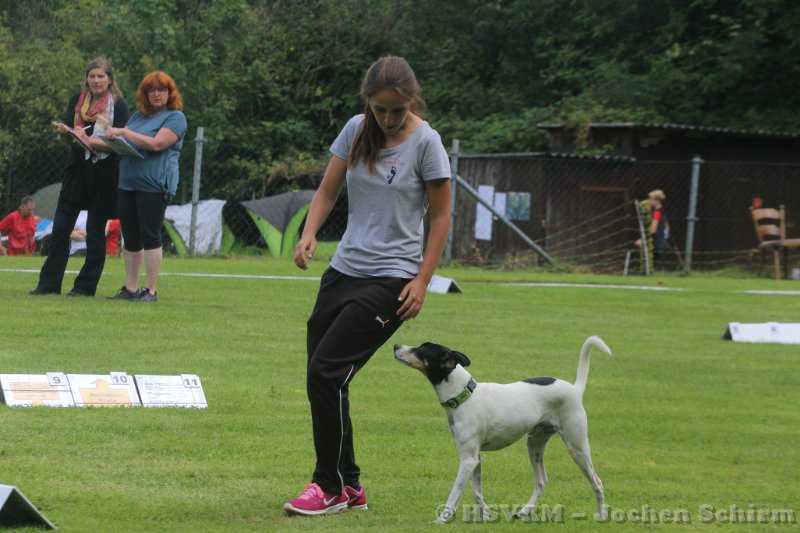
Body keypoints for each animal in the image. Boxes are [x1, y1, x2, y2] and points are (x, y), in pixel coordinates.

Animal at [394, 336, 611, 524]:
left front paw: (442, 519)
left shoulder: (468, 460)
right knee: (541, 480)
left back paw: (601, 514)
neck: (464, 396)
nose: (395, 345)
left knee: (597, 482)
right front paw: (485, 515)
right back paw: (524, 511)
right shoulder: (475, 459)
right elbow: (477, 492)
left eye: (421, 350)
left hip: (577, 447)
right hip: (534, 443)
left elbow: (455, 493)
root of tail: (575, 389)